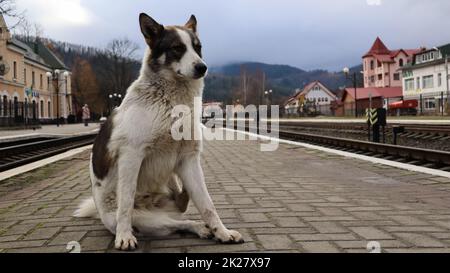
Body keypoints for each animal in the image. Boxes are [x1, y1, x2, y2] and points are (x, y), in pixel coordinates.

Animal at [74, 13, 243, 250]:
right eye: (177, 48)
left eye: (198, 47)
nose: (202, 67)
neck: (171, 101)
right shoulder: (131, 157)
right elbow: (125, 202)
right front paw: (124, 237)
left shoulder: (189, 159)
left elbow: (207, 204)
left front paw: (222, 232)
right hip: (145, 220)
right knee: (163, 219)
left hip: (166, 208)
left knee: (182, 212)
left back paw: (200, 224)